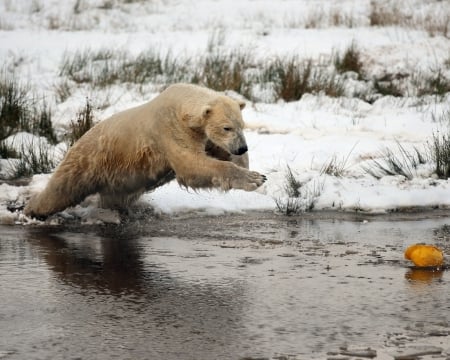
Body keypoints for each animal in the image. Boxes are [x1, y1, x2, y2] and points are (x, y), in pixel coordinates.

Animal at [24, 83, 266, 219]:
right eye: (227, 127)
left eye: (241, 125)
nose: (242, 147)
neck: (181, 105)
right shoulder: (169, 129)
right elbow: (191, 165)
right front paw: (254, 179)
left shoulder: (201, 134)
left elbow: (216, 152)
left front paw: (252, 172)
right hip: (88, 161)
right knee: (61, 190)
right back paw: (32, 210)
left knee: (114, 197)